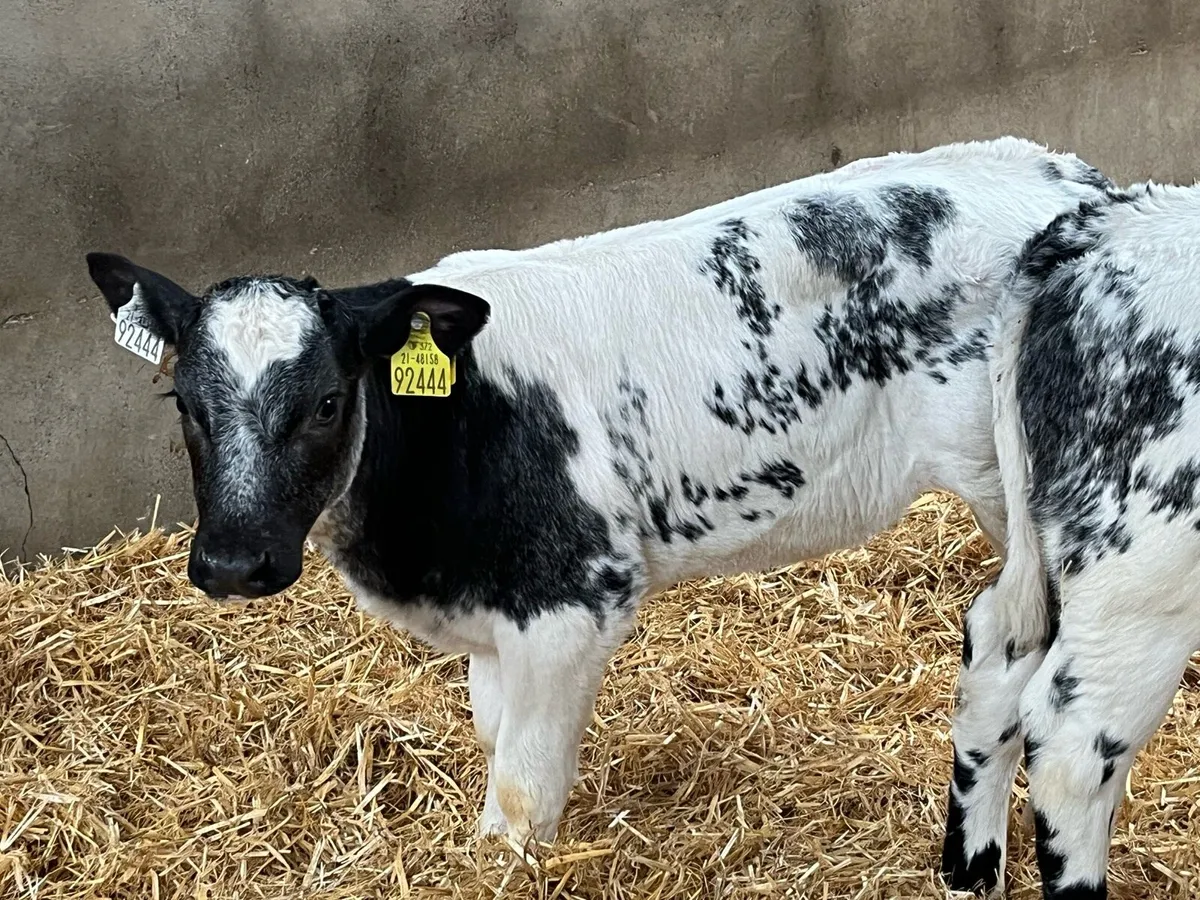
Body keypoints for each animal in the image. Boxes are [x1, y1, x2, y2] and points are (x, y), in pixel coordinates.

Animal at [87, 136, 1111, 858]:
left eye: (330, 402)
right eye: (183, 402)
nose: (233, 562)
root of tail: (1073, 183)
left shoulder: (574, 600)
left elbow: (519, 791)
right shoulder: (496, 616)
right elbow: (496, 738)